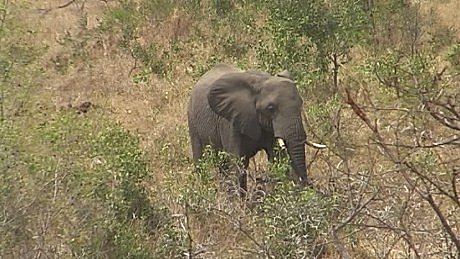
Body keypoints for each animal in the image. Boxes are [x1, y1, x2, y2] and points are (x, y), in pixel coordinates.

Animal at [187, 63, 310, 191]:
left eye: (301, 104)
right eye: (271, 108)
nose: (305, 184)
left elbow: (277, 158)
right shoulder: (229, 121)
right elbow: (236, 163)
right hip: (192, 121)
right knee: (201, 159)